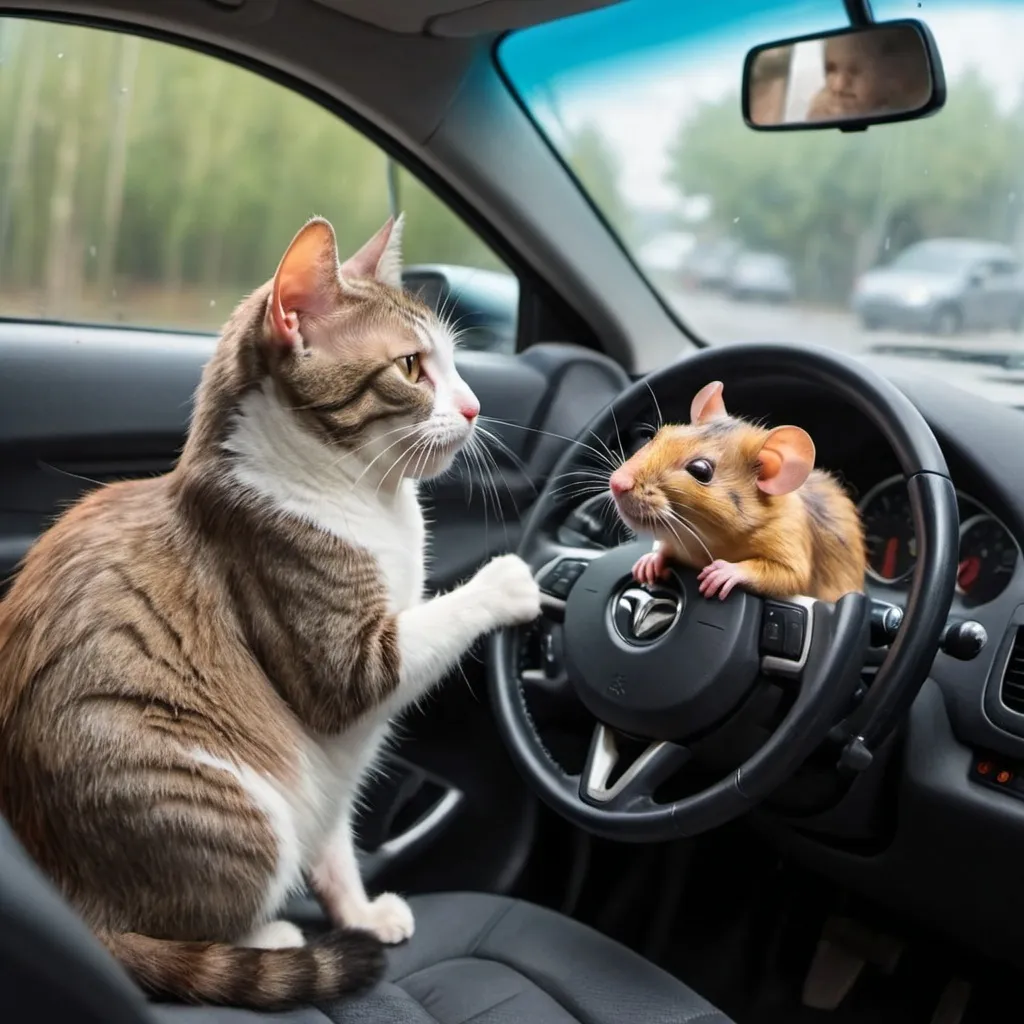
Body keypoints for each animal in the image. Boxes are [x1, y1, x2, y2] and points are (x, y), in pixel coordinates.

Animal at [0, 214, 544, 1007]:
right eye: (413, 368)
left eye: (453, 363)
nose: (475, 407)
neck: (373, 501)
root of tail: (78, 910)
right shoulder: (350, 670)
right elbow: (435, 621)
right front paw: (507, 582)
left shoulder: (337, 776)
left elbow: (338, 845)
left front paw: (358, 914)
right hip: (238, 803)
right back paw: (273, 938)